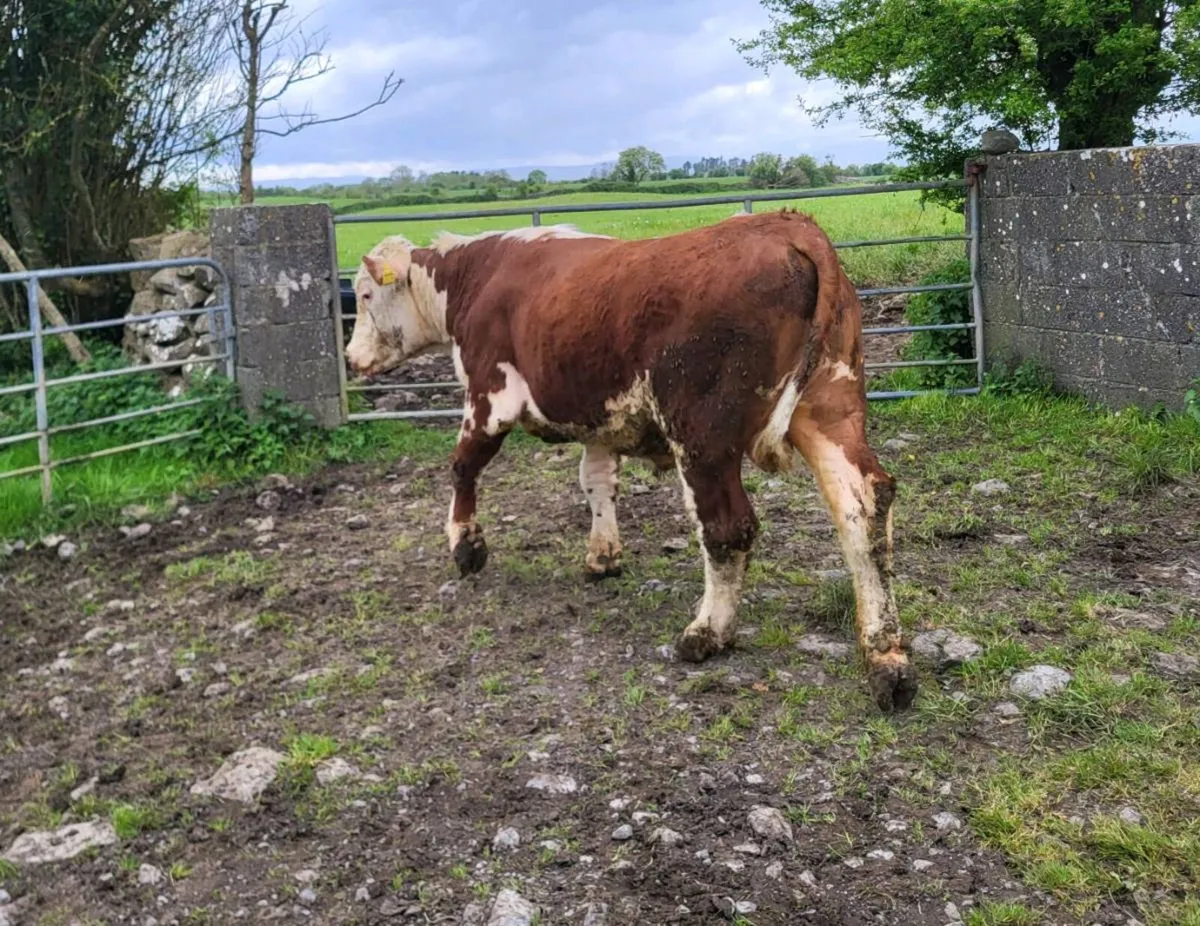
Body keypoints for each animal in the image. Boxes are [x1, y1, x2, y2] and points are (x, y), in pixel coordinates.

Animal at [344, 212, 917, 712]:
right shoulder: (597, 417)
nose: (350, 359)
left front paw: (467, 547)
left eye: (367, 295)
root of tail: (791, 227)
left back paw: (707, 633)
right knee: (864, 508)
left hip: (702, 436)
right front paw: (603, 556)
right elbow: (597, 483)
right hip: (830, 410)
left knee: (728, 529)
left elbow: (463, 467)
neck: (476, 277)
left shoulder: (489, 400)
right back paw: (885, 657)